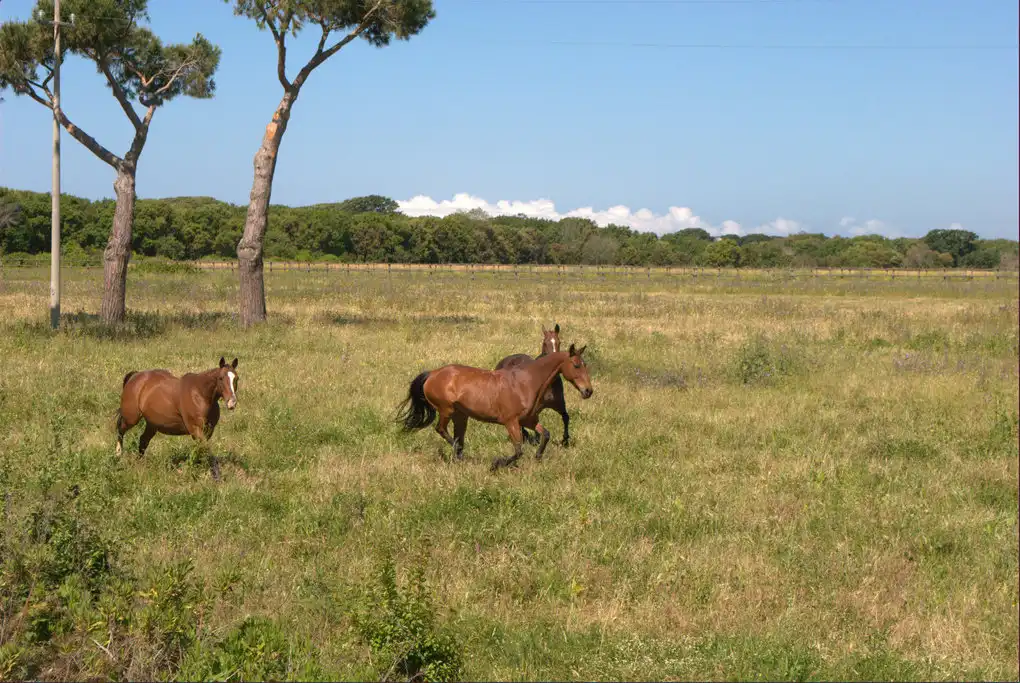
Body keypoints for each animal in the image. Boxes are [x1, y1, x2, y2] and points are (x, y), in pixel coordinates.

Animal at [397, 344, 593, 472]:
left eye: (585, 365)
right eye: (576, 365)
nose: (588, 391)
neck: (526, 383)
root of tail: (432, 374)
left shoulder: (528, 421)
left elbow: (545, 434)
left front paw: (538, 456)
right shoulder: (511, 422)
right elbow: (518, 449)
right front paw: (497, 464)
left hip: (461, 416)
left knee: (457, 437)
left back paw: (460, 457)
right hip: (447, 410)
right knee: (441, 430)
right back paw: (462, 455)